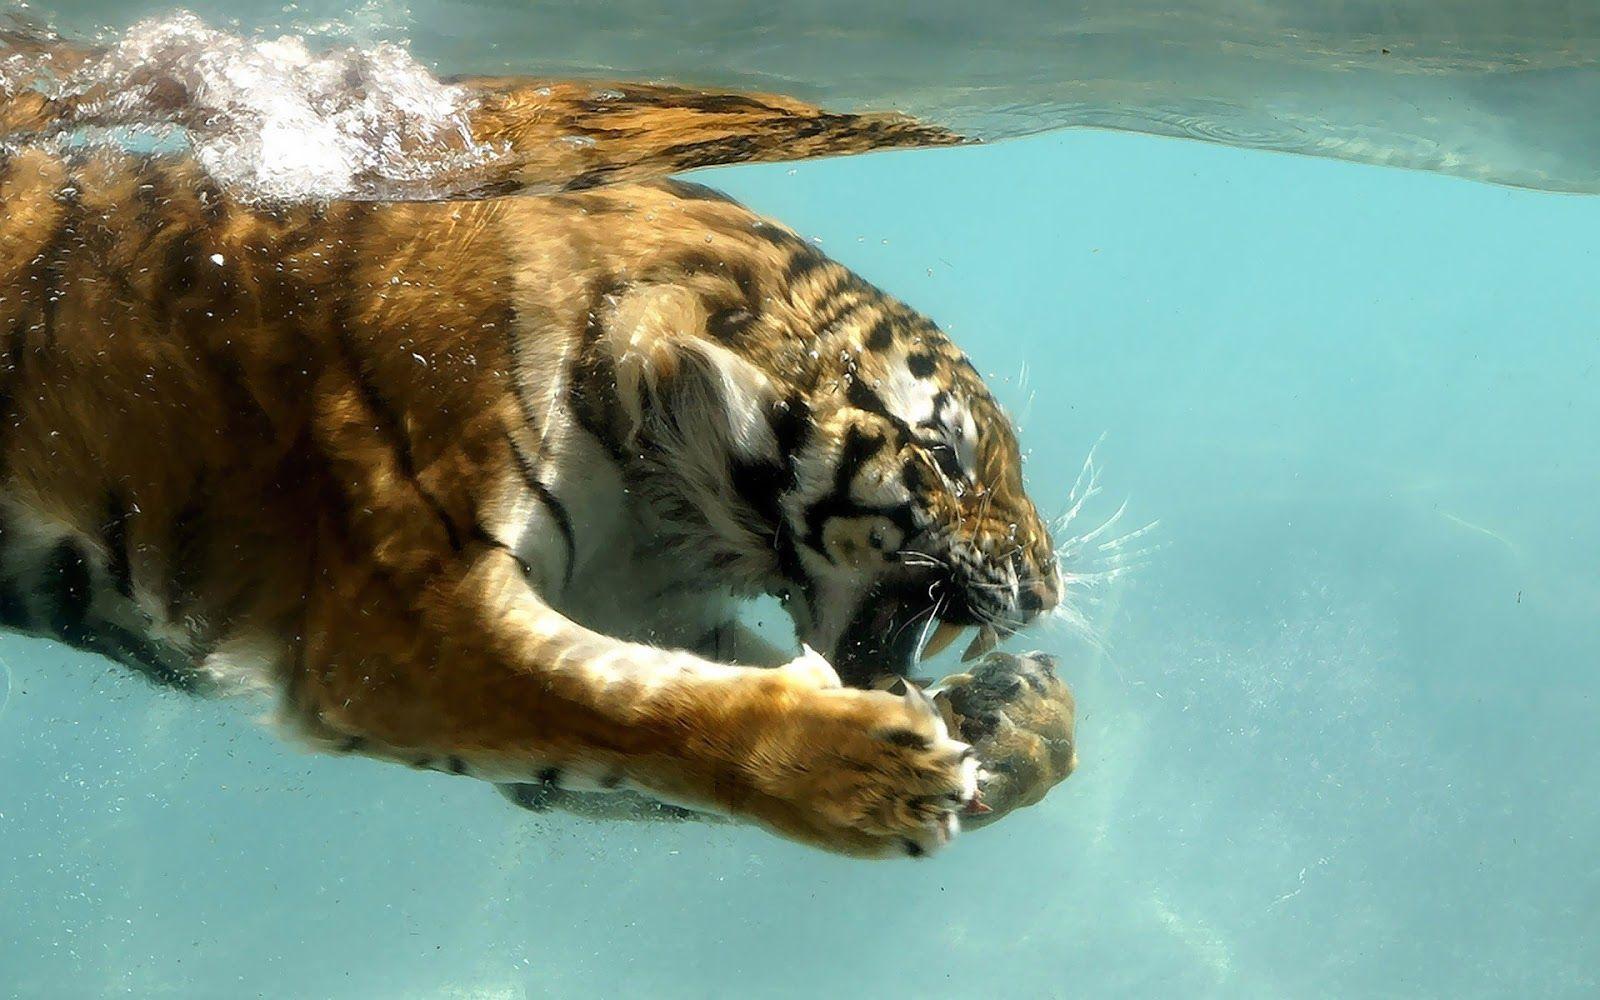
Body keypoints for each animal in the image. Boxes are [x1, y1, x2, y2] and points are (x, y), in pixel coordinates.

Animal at [0, 72, 1078, 858]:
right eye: (947, 453)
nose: (1048, 588)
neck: (659, 490)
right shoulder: (400, 628)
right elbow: (632, 706)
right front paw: (873, 778)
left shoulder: (634, 602)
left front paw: (1020, 726)